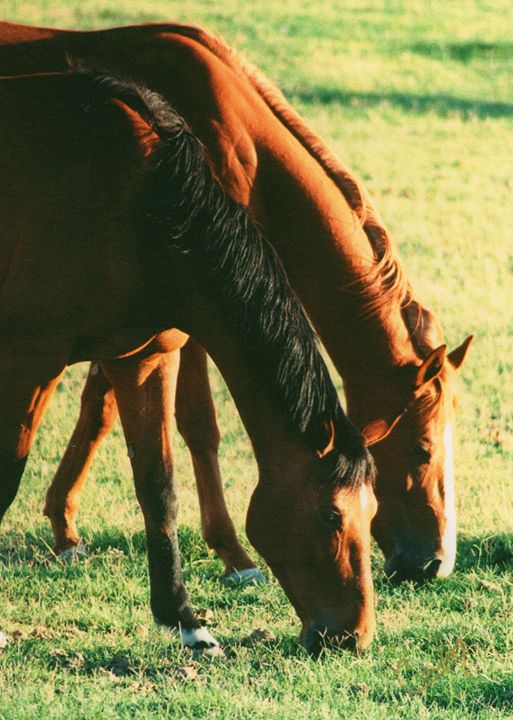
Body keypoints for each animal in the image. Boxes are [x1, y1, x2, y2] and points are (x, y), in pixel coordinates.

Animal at [0, 21, 473, 581]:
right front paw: (234, 554)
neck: (233, 138)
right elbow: (199, 425)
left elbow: (100, 406)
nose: (435, 563)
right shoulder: (191, 314)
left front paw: (64, 525)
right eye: (422, 449)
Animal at [0, 69, 400, 655]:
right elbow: (6, 480)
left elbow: (159, 488)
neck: (140, 203)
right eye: (331, 514)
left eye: (371, 514)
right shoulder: (29, 364)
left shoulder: (144, 359)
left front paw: (185, 620)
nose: (353, 635)